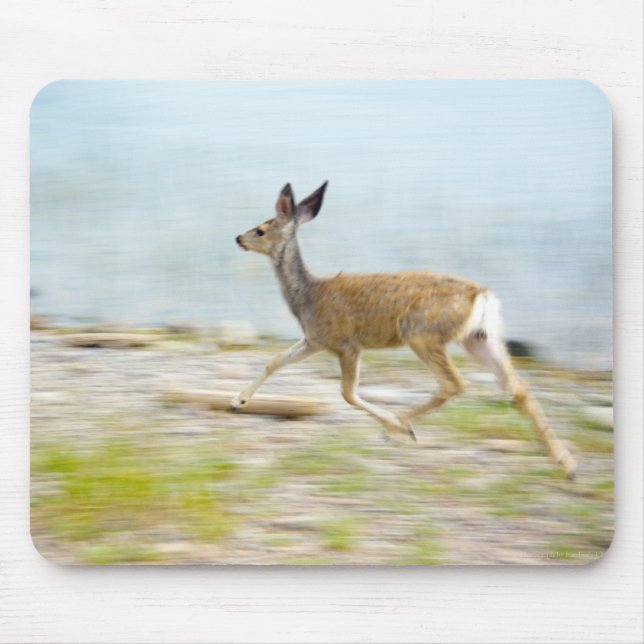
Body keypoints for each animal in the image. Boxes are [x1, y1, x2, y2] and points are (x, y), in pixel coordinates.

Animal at [231, 182, 577, 479]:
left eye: (261, 229)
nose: (238, 238)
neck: (308, 295)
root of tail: (483, 296)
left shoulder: (344, 343)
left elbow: (348, 393)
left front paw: (397, 428)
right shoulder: (315, 339)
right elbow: (275, 361)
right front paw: (237, 402)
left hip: (423, 333)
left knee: (455, 384)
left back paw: (400, 426)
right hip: (479, 338)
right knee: (517, 387)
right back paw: (567, 464)